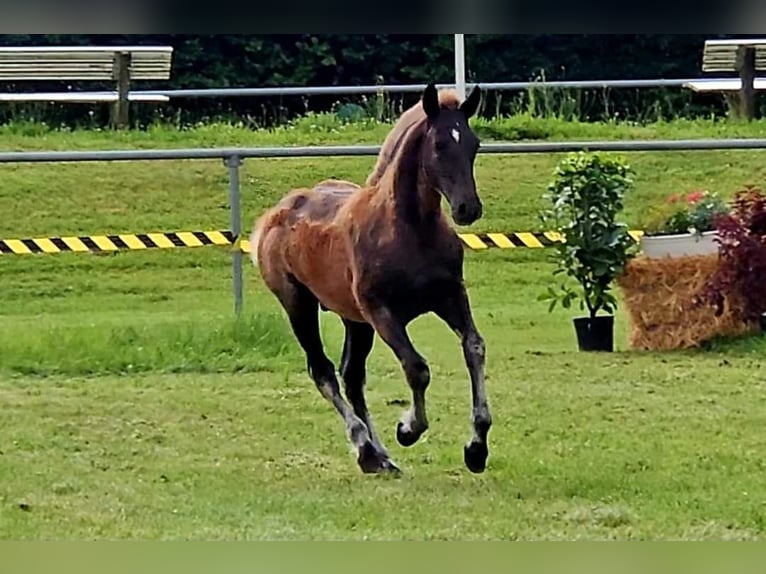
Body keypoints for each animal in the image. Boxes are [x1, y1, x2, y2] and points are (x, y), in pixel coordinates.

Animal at [252, 83, 492, 474]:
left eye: (474, 143)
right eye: (439, 145)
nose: (467, 209)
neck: (409, 229)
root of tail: (275, 214)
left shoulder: (451, 297)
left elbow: (474, 347)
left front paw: (476, 448)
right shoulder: (382, 313)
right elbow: (417, 368)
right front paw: (409, 428)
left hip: (354, 320)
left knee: (351, 376)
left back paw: (381, 456)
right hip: (299, 306)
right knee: (324, 372)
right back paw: (366, 449)